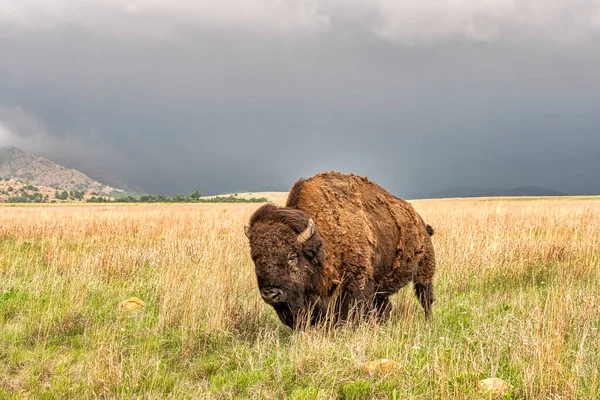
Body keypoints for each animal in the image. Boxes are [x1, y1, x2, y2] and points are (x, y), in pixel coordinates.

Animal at [244, 172, 436, 328]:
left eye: (292, 256)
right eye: (255, 258)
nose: (271, 294)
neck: (322, 243)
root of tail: (420, 222)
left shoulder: (356, 284)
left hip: (424, 270)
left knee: (426, 297)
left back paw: (428, 322)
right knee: (386, 306)